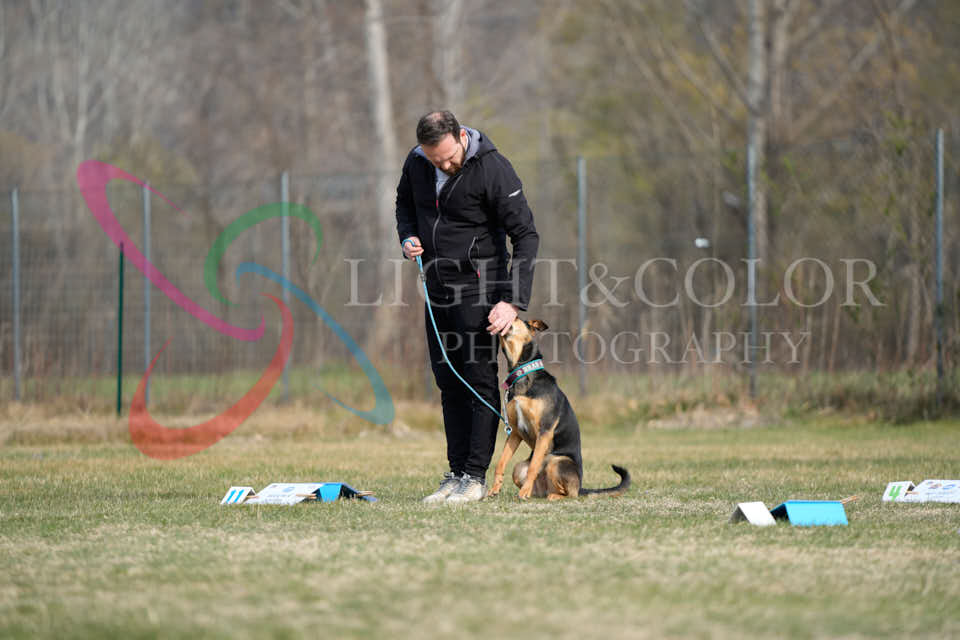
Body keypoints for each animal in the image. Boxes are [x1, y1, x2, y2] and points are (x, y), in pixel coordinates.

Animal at [485, 318, 631, 500]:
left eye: (516, 318)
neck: (523, 372)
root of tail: (580, 486)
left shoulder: (545, 430)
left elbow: (533, 466)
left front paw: (523, 492)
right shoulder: (515, 432)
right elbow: (501, 462)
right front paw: (494, 489)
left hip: (557, 461)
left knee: (570, 494)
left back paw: (547, 495)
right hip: (519, 468)